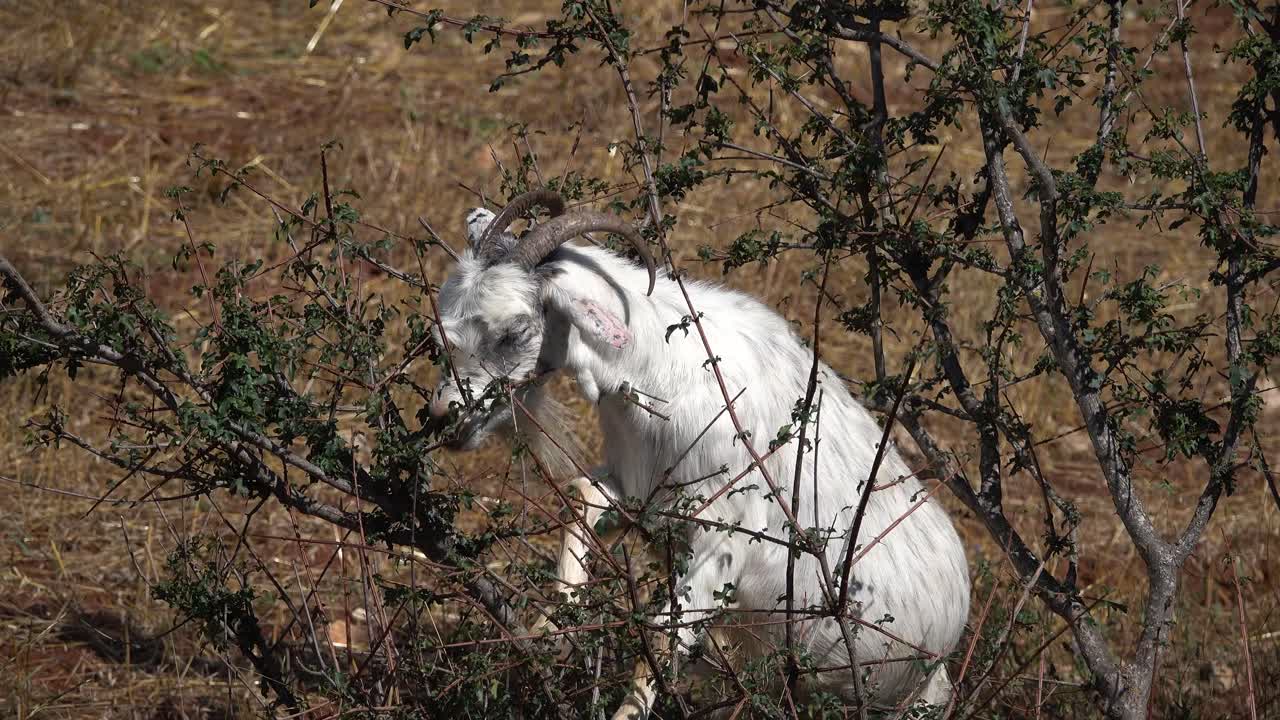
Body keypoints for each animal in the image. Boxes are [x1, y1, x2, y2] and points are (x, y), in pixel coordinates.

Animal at [426, 189, 971, 718]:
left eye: (516, 331)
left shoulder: (723, 541)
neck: (664, 372)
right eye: (443, 327)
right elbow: (582, 493)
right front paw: (552, 627)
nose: (444, 419)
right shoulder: (642, 491)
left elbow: (663, 637)